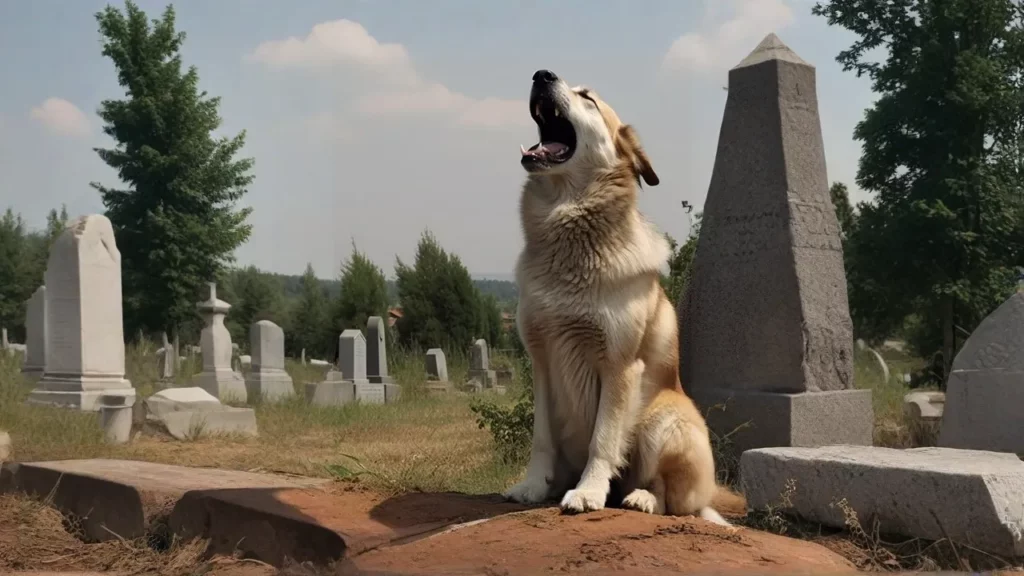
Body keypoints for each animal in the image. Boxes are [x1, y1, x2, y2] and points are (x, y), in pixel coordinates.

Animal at [501, 69, 745, 522]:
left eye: (588, 98)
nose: (542, 74)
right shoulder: (542, 361)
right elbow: (541, 438)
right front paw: (532, 486)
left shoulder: (619, 365)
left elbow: (603, 439)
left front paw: (588, 491)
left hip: (660, 420)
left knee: (670, 499)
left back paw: (641, 498)